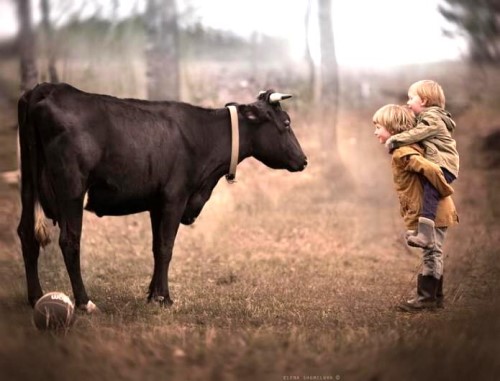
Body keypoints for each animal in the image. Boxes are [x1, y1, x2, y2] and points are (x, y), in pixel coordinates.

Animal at [17, 81, 306, 310]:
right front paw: (164, 298)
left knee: (26, 233)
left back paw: (35, 297)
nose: (304, 160)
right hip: (72, 189)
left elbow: (156, 247)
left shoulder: (157, 203)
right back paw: (84, 302)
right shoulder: (175, 197)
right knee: (69, 240)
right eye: (286, 123)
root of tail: (49, 88)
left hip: (28, 184)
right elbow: (167, 247)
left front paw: (152, 294)